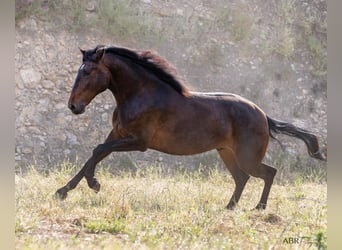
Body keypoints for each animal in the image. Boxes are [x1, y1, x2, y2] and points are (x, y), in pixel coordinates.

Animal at [55, 44, 326, 209]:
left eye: (87, 72)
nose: (73, 106)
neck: (140, 93)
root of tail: (263, 115)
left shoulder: (138, 141)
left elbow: (98, 150)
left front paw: (93, 184)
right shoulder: (118, 134)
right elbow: (96, 153)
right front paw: (64, 190)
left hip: (247, 156)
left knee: (268, 173)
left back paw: (258, 208)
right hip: (227, 153)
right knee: (242, 178)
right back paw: (229, 207)